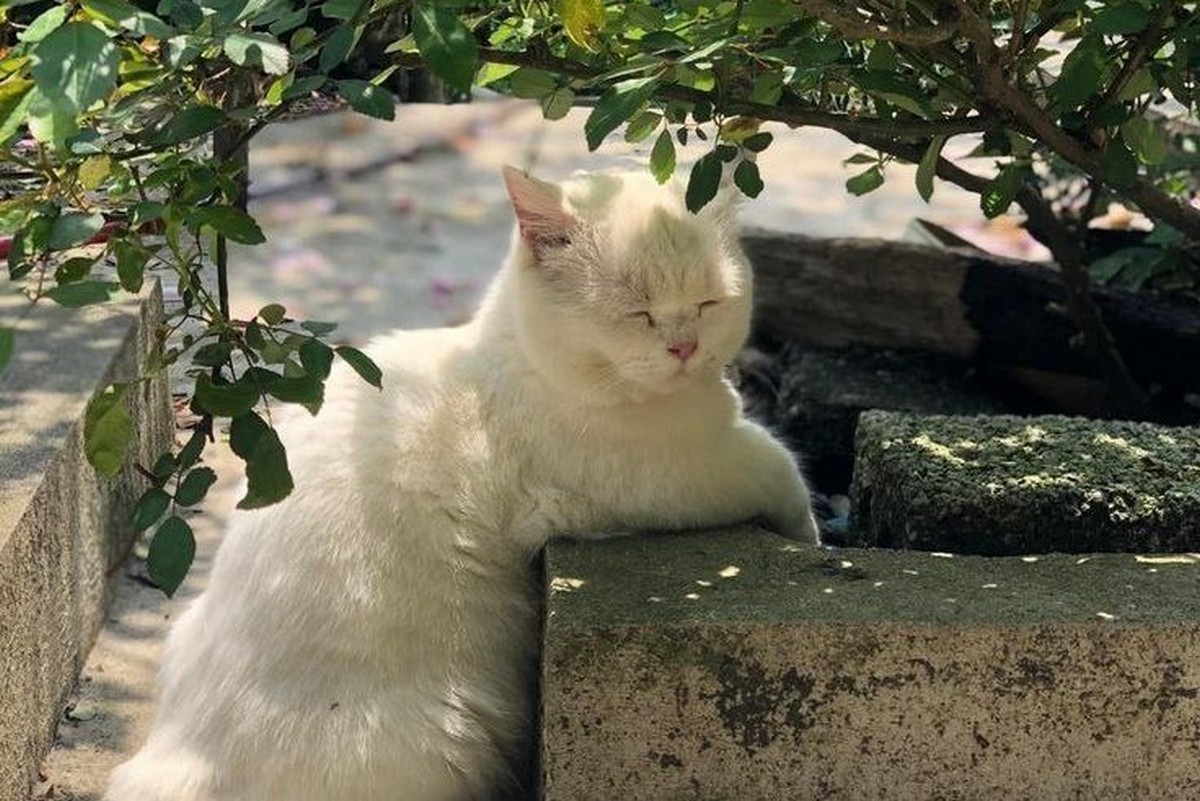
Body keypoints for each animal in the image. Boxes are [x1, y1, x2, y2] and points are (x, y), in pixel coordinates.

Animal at [108, 165, 820, 801]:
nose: (684, 347)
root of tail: (179, 758)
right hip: (444, 739)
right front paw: (813, 538)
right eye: (636, 312)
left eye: (708, 302)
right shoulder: (675, 477)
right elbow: (781, 468)